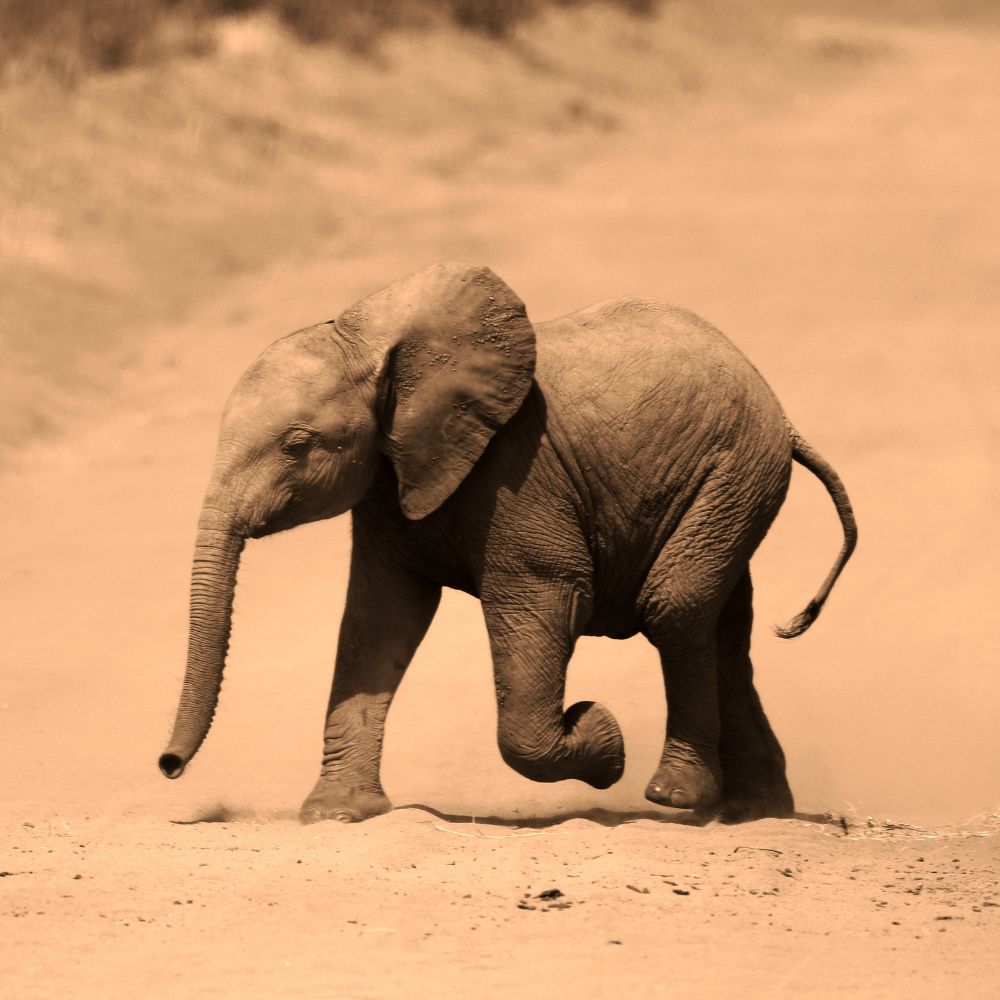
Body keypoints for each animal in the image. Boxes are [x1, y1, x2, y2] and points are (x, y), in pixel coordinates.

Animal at [158, 261, 857, 824]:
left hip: (733, 472)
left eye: (297, 444)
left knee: (675, 607)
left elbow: (542, 597)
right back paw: (758, 810)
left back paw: (677, 796)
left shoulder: (518, 470)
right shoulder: (391, 478)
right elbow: (379, 620)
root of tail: (782, 415)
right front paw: (335, 815)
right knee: (726, 632)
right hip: (732, 488)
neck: (376, 347)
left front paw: (602, 739)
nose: (168, 765)